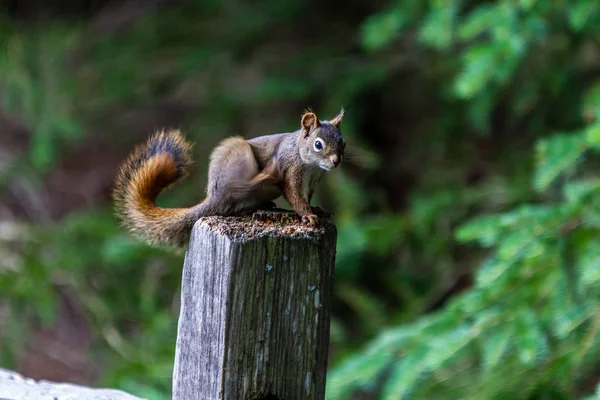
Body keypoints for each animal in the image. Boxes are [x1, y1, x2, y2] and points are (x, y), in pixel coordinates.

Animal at [113, 109, 346, 247]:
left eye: (342, 142)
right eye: (318, 144)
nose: (336, 161)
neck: (310, 166)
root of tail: (214, 196)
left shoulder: (312, 180)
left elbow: (306, 196)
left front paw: (316, 209)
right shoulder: (291, 171)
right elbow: (295, 196)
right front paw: (308, 215)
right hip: (238, 158)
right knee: (239, 196)